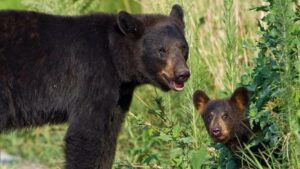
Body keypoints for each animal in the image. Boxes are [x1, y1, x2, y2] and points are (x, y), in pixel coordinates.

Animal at [0, 4, 190, 168]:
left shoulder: (119, 96)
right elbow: (85, 134)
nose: (183, 73)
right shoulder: (92, 78)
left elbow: (109, 137)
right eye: (161, 50)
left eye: (183, 47)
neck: (114, 55)